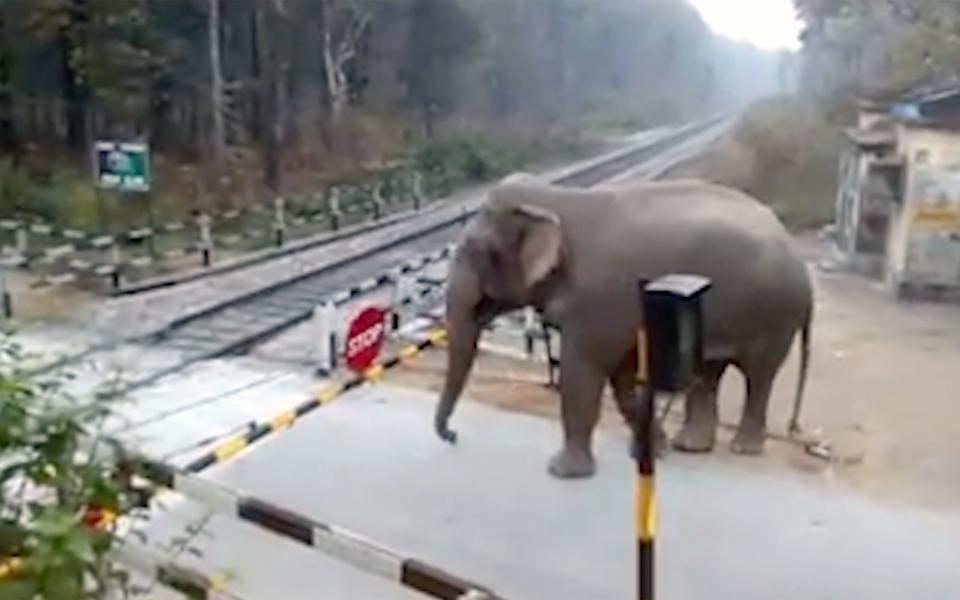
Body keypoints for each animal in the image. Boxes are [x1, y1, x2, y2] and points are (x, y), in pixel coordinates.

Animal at [434, 176, 808, 480]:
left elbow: (582, 373)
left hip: (774, 315)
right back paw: (691, 445)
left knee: (759, 376)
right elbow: (623, 379)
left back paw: (743, 448)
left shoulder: (600, 300)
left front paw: (562, 472)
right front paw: (650, 452)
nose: (452, 436)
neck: (557, 199)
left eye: (476, 251)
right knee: (709, 372)